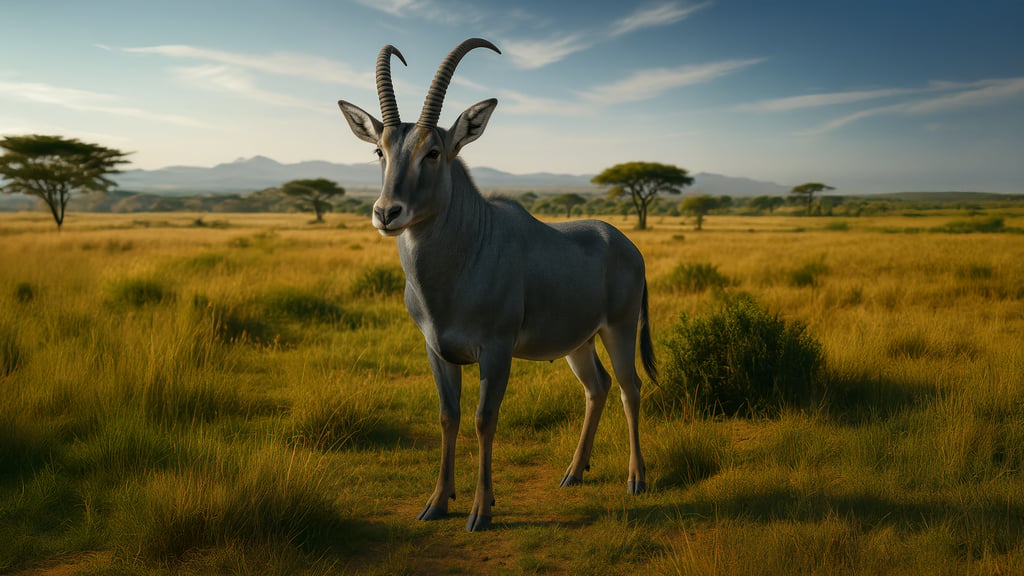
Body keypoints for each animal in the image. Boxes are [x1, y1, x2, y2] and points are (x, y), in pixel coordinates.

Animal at [337, 38, 657, 531]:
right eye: (380, 150)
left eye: (433, 151)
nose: (387, 212)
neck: (464, 256)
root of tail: (626, 244)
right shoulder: (436, 350)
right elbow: (448, 417)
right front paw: (437, 503)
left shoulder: (497, 350)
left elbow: (484, 419)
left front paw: (480, 511)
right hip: (579, 343)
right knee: (597, 387)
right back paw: (573, 473)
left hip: (618, 331)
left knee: (630, 387)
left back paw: (635, 479)